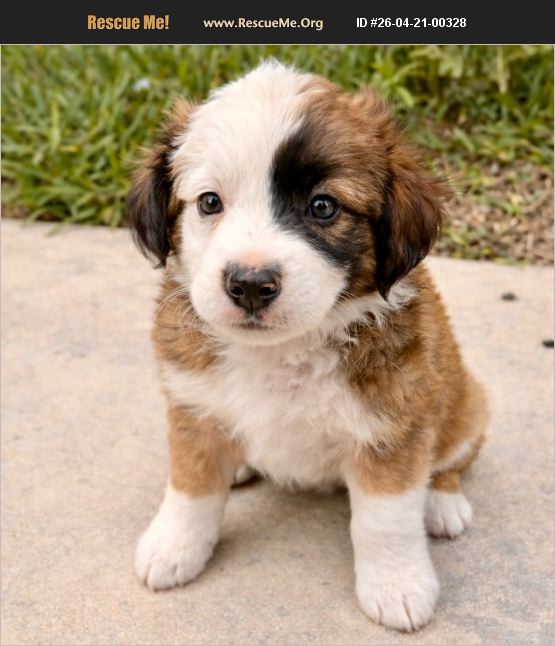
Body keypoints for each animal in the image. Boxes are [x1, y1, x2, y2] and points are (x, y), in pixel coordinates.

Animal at [127, 61, 488, 632]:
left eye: (323, 207)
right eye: (209, 202)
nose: (250, 284)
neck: (283, 352)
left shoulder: (393, 427)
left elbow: (385, 519)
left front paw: (398, 585)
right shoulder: (192, 405)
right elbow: (191, 486)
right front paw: (174, 546)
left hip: (467, 406)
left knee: (449, 463)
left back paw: (441, 505)